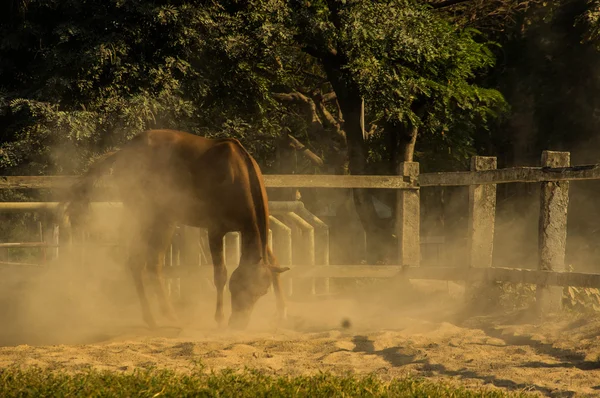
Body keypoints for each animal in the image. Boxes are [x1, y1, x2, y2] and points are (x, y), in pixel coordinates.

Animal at [59, 130, 290, 330]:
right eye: (240, 287)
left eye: (261, 292)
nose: (238, 324)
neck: (237, 175)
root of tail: (122, 153)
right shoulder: (215, 231)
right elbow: (220, 274)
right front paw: (219, 318)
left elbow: (274, 262)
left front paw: (280, 315)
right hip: (144, 216)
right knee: (136, 262)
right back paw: (151, 318)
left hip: (165, 221)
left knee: (154, 264)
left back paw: (168, 314)